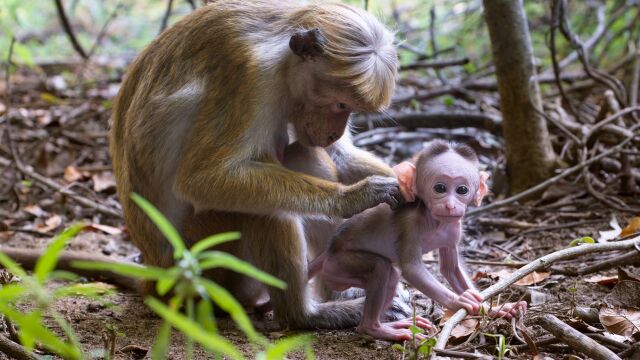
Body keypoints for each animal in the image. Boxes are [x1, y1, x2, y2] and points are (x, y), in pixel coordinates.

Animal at [109, 0, 400, 328]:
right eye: (341, 104)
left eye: (348, 108)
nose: (332, 133)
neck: (281, 55)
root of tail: (156, 276)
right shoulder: (251, 77)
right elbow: (201, 179)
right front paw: (353, 197)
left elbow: (339, 154)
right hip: (203, 261)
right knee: (266, 208)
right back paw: (305, 315)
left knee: (305, 155)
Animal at [308, 140, 524, 340]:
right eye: (440, 188)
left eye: (462, 190)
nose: (450, 206)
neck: (435, 222)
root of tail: (329, 250)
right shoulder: (409, 224)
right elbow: (412, 269)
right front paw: (458, 302)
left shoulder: (454, 228)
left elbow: (450, 269)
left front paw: (493, 308)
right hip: (340, 264)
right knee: (382, 268)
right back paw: (373, 328)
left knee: (391, 275)